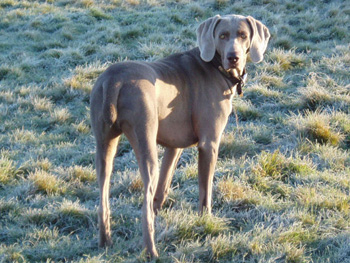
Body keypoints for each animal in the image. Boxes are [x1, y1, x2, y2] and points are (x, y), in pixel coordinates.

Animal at [90, 13, 270, 258]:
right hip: (145, 139)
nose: (233, 58)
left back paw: (105, 242)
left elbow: (162, 188)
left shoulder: (173, 146)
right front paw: (206, 222)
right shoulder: (209, 144)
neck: (214, 66)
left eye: (243, 35)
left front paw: (160, 210)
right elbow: (205, 191)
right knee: (144, 202)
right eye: (222, 36)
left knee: (104, 196)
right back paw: (151, 252)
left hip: (104, 144)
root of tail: (113, 80)